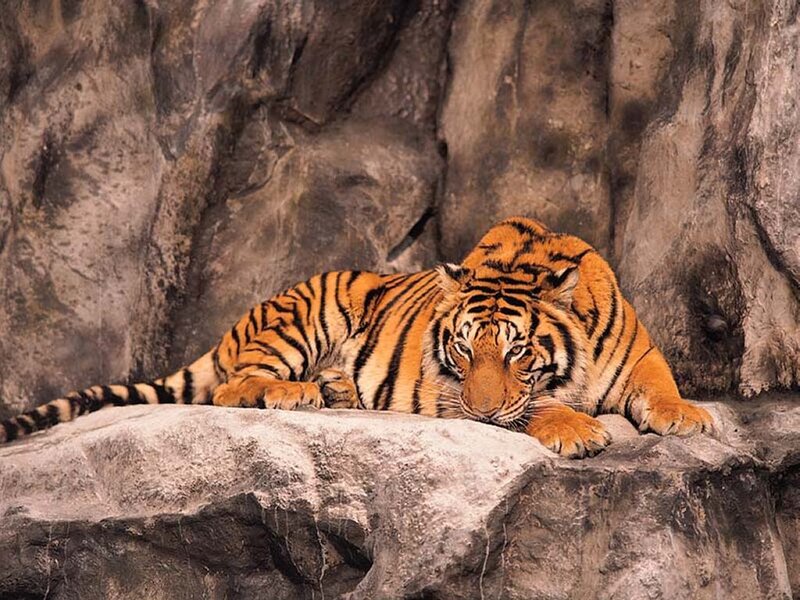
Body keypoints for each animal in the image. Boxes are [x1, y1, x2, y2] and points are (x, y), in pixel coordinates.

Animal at [0, 216, 712, 457]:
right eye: (463, 348)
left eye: (516, 349)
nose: (482, 411)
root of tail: (232, 328)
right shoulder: (453, 394)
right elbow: (531, 408)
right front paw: (573, 427)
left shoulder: (639, 353)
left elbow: (660, 382)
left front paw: (688, 417)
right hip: (308, 312)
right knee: (232, 385)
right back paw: (296, 394)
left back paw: (335, 390)